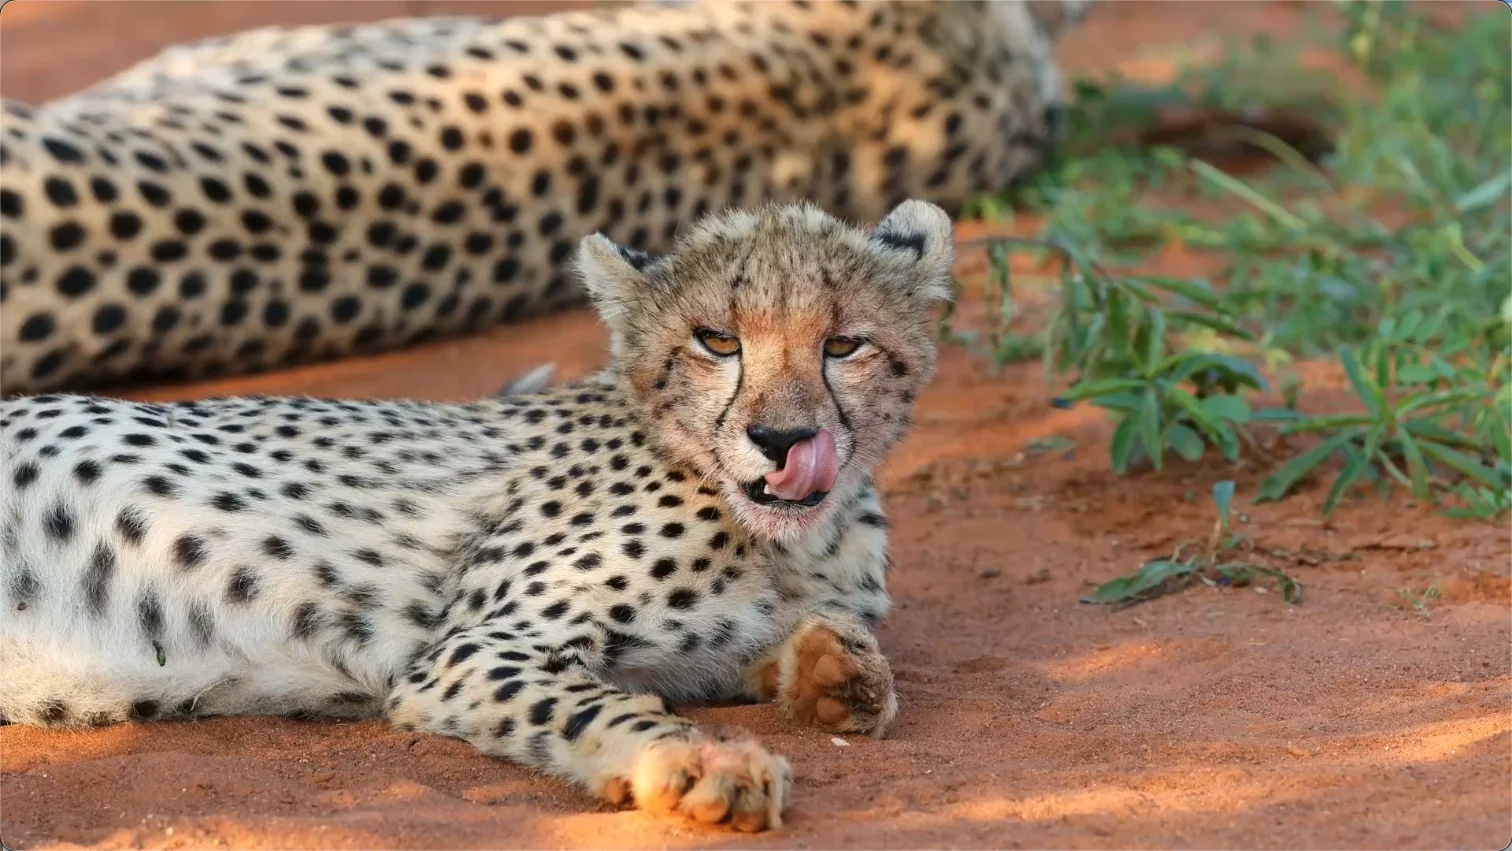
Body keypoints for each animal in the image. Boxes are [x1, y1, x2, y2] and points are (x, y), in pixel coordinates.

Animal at [0, 198, 956, 831]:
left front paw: (834, 669)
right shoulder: (468, 649)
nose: (784, 438)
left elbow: (781, 656)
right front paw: (702, 760)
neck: (785, 541)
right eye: (717, 341)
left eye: (844, 344)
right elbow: (598, 707)